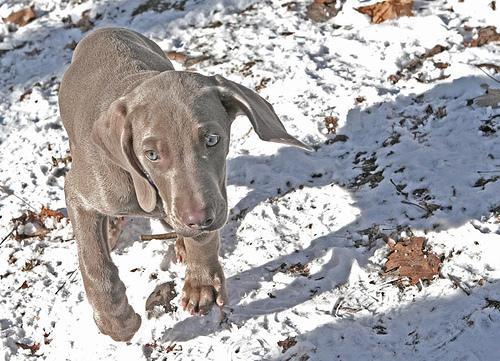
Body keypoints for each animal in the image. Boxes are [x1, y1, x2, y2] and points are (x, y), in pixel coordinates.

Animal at [58, 27, 308, 340]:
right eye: (151, 154)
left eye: (212, 139)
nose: (198, 219)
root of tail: (103, 30)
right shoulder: (80, 193)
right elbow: (94, 261)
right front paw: (117, 320)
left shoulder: (211, 194)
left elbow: (202, 236)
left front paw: (202, 283)